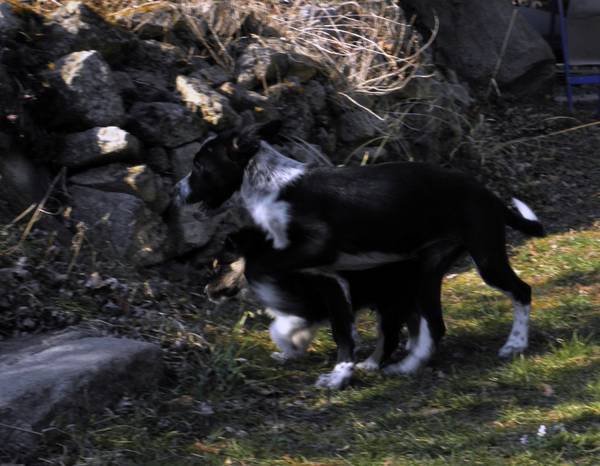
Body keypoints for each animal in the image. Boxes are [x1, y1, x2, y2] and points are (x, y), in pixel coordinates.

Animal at [173, 124, 545, 388]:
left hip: (486, 259)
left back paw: (515, 344)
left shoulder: (317, 254)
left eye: (199, 166)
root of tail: (490, 197)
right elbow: (340, 330)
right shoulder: (329, 277)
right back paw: (405, 366)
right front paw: (333, 363)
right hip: (427, 271)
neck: (272, 187)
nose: (176, 192)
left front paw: (333, 371)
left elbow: (261, 268)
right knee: (434, 326)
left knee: (521, 291)